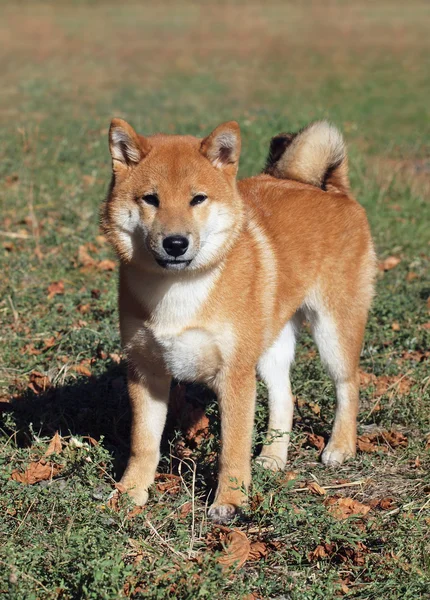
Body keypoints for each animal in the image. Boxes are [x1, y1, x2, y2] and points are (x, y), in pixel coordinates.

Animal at [102, 117, 374, 520]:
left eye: (197, 199)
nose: (175, 243)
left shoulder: (233, 375)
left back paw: (340, 446)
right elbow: (144, 445)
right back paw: (273, 457)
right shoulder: (145, 371)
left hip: (332, 333)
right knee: (284, 398)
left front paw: (230, 500)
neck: (179, 291)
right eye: (151, 199)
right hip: (269, 347)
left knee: (348, 386)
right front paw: (130, 493)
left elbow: (232, 448)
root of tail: (331, 190)